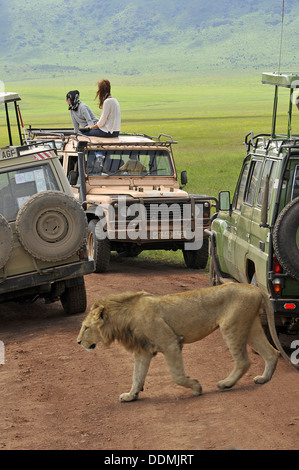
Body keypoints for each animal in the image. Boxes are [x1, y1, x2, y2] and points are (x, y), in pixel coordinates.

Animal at [77, 280, 282, 402]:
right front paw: (130, 395)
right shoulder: (143, 351)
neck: (123, 318)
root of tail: (254, 288)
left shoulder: (171, 343)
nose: (78, 342)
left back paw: (226, 384)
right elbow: (137, 376)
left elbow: (176, 375)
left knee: (243, 361)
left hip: (231, 326)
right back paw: (264, 379)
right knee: (272, 353)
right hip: (251, 327)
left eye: (86, 328)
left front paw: (196, 387)